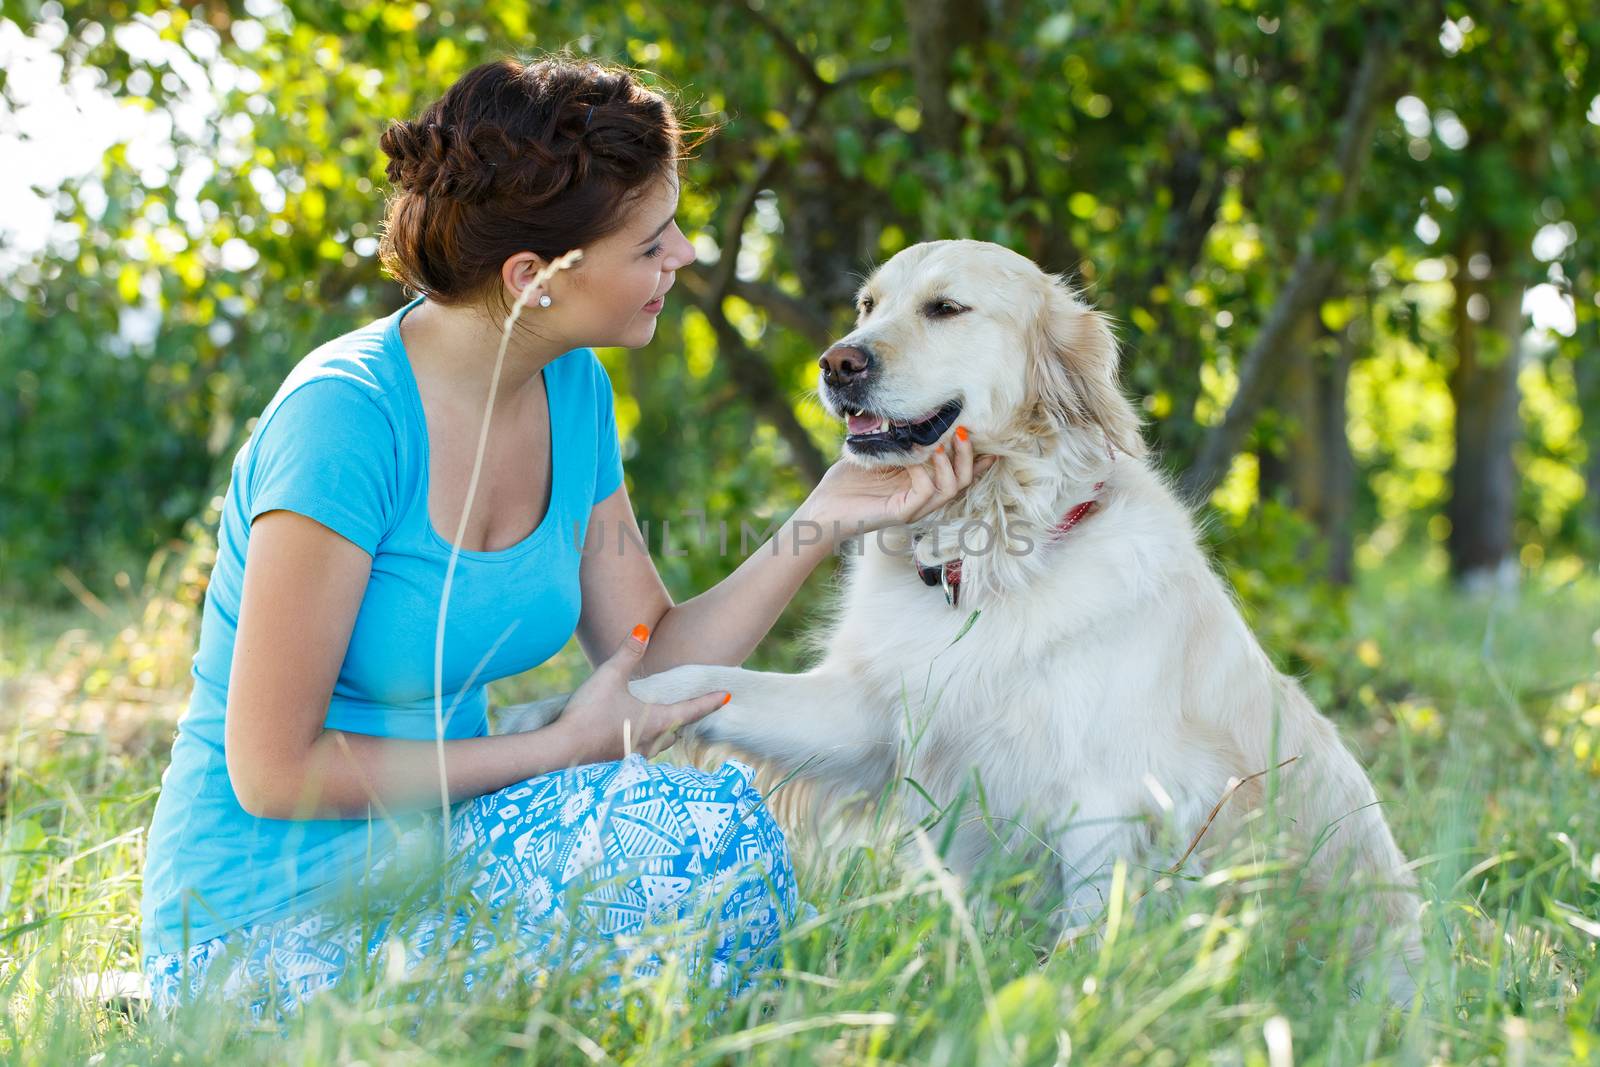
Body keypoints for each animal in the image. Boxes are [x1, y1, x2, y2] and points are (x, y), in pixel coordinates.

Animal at [502, 238, 1427, 998]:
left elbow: (1085, 947)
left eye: (946, 308)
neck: (985, 557)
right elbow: (698, 675)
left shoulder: (1110, 803)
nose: (836, 363)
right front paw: (555, 716)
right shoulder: (867, 713)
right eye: (867, 305)